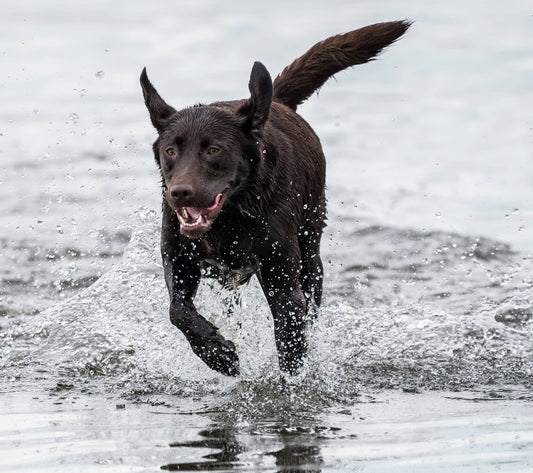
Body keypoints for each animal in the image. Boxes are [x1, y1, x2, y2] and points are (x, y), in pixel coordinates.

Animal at [139, 20, 410, 376]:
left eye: (213, 150)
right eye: (171, 150)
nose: (180, 193)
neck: (232, 215)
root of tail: (274, 103)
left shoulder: (283, 282)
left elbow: (291, 342)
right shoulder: (179, 256)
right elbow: (178, 310)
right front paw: (218, 354)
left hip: (310, 253)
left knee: (312, 303)